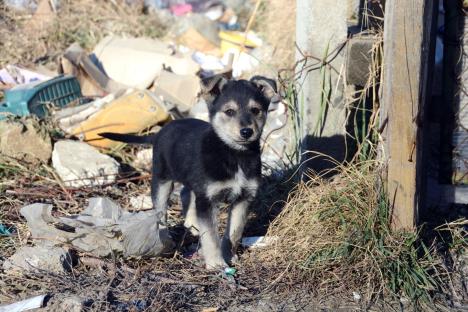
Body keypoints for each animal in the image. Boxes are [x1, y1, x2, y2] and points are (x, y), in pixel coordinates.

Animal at [99, 75, 278, 268]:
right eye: (229, 111)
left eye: (255, 110)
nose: (246, 132)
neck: (234, 154)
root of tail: (160, 132)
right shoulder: (207, 200)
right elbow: (211, 236)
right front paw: (216, 263)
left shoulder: (243, 198)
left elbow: (234, 232)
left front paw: (228, 255)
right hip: (162, 178)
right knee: (160, 210)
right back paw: (162, 236)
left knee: (186, 193)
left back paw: (192, 225)